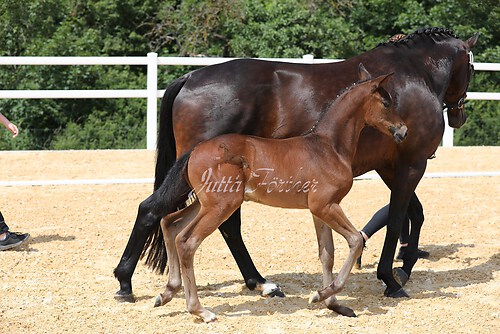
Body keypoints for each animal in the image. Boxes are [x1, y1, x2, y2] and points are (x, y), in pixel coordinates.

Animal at [151, 64, 406, 322]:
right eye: (386, 102)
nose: (403, 130)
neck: (328, 147)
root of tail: (195, 151)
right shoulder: (326, 206)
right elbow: (355, 240)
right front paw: (322, 294)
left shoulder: (319, 210)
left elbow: (327, 254)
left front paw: (333, 304)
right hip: (221, 205)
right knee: (187, 242)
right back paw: (200, 310)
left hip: (208, 202)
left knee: (170, 223)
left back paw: (168, 292)